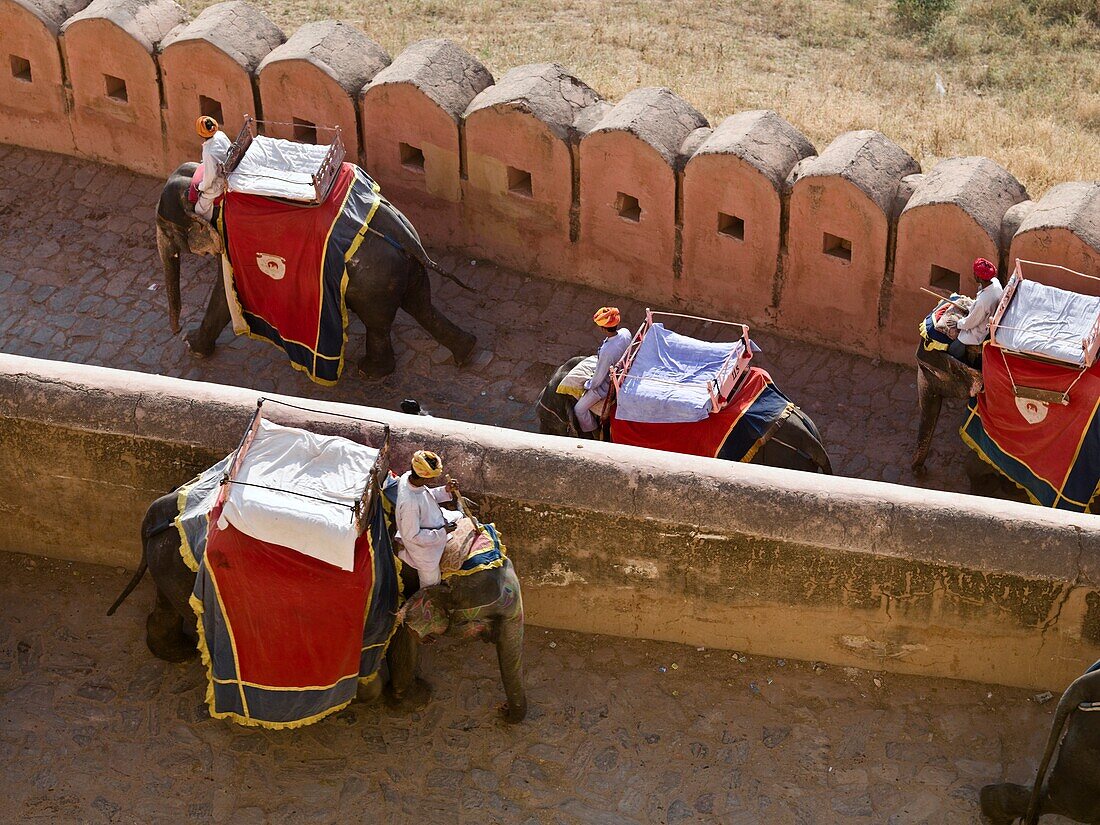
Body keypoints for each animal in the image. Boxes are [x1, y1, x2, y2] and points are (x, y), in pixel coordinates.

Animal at [110, 490, 528, 721]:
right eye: (490, 620)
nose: (502, 713)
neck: (459, 544)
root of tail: (160, 512)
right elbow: (399, 638)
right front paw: (409, 700)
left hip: (170, 562)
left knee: (168, 604)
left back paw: (174, 652)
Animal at [156, 162, 477, 380]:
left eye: (168, 230)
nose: (176, 331)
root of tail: (406, 238)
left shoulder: (233, 238)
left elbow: (224, 293)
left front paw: (193, 347)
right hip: (403, 271)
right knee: (420, 306)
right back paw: (466, 352)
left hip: (374, 281)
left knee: (379, 322)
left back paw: (369, 373)